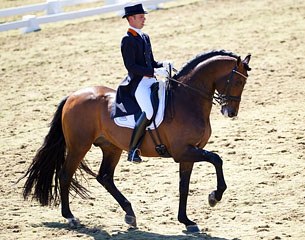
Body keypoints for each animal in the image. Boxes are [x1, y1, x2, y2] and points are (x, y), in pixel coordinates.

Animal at [20, 50, 251, 232]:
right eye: (238, 81)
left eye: (244, 82)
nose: (230, 112)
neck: (187, 100)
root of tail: (72, 96)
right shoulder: (183, 151)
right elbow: (217, 159)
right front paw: (214, 197)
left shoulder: (189, 153)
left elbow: (184, 186)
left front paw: (186, 221)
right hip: (79, 146)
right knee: (66, 175)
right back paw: (70, 217)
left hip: (111, 147)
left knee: (105, 177)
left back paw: (130, 214)